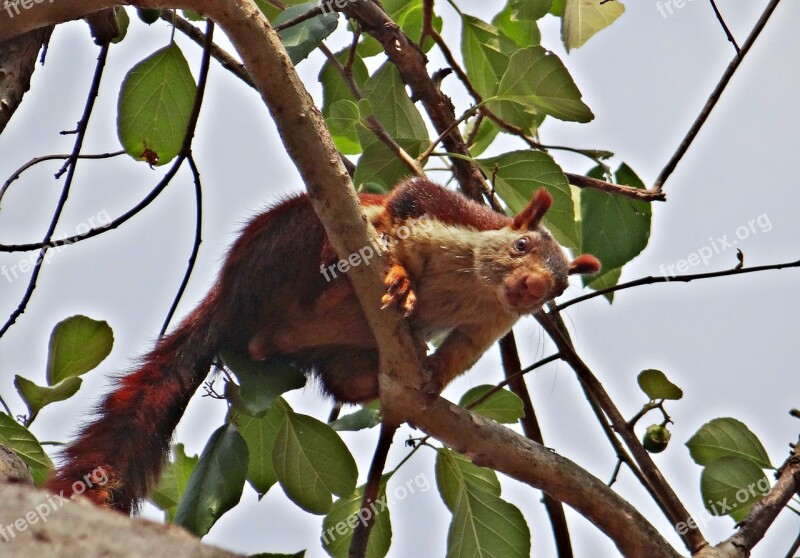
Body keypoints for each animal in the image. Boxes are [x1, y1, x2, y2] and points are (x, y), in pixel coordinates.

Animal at [43, 178, 600, 512]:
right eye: (521, 245)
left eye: (557, 289)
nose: (530, 287)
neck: (478, 289)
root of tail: (229, 294)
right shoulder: (447, 212)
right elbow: (406, 202)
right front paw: (401, 273)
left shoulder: (488, 325)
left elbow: (459, 352)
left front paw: (434, 378)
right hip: (294, 238)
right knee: (337, 245)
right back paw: (347, 270)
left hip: (325, 351)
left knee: (334, 378)